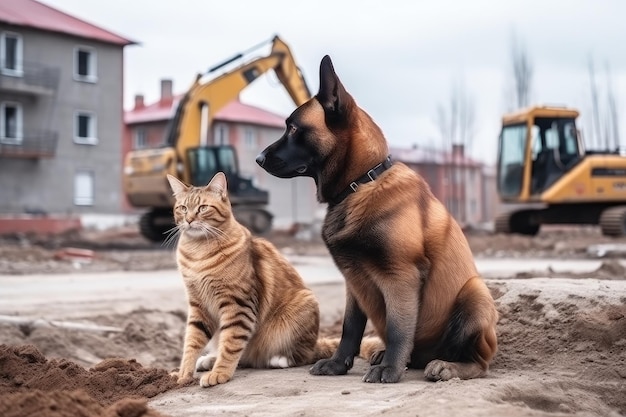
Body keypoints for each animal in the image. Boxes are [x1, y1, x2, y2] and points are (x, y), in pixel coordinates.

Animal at [166, 172, 344, 386]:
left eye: (202, 208)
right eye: (183, 208)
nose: (189, 220)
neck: (198, 252)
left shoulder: (238, 305)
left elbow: (231, 343)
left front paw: (220, 373)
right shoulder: (198, 305)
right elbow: (192, 342)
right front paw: (184, 375)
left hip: (303, 306)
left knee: (304, 354)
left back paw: (279, 359)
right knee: (243, 356)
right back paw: (209, 360)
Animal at [255, 55, 498, 384]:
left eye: (293, 128)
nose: (258, 159)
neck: (360, 183)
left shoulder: (400, 276)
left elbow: (397, 328)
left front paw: (391, 369)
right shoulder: (353, 282)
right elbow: (350, 328)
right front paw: (339, 363)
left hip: (475, 293)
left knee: (479, 363)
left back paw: (447, 366)